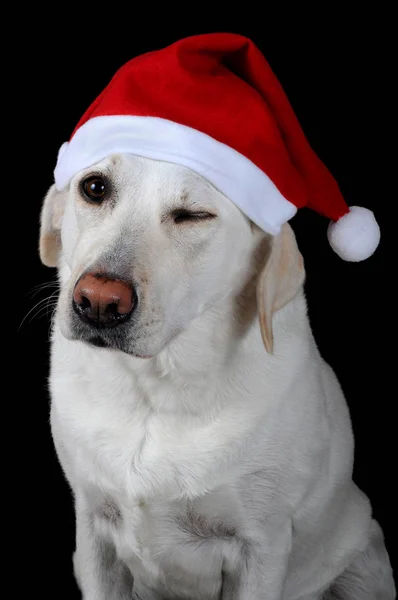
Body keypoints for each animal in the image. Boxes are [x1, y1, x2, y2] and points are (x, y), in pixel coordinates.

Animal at [39, 156, 394, 600]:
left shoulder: (260, 547)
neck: (156, 389)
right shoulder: (92, 528)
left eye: (192, 216)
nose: (99, 301)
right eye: (94, 188)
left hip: (363, 562)